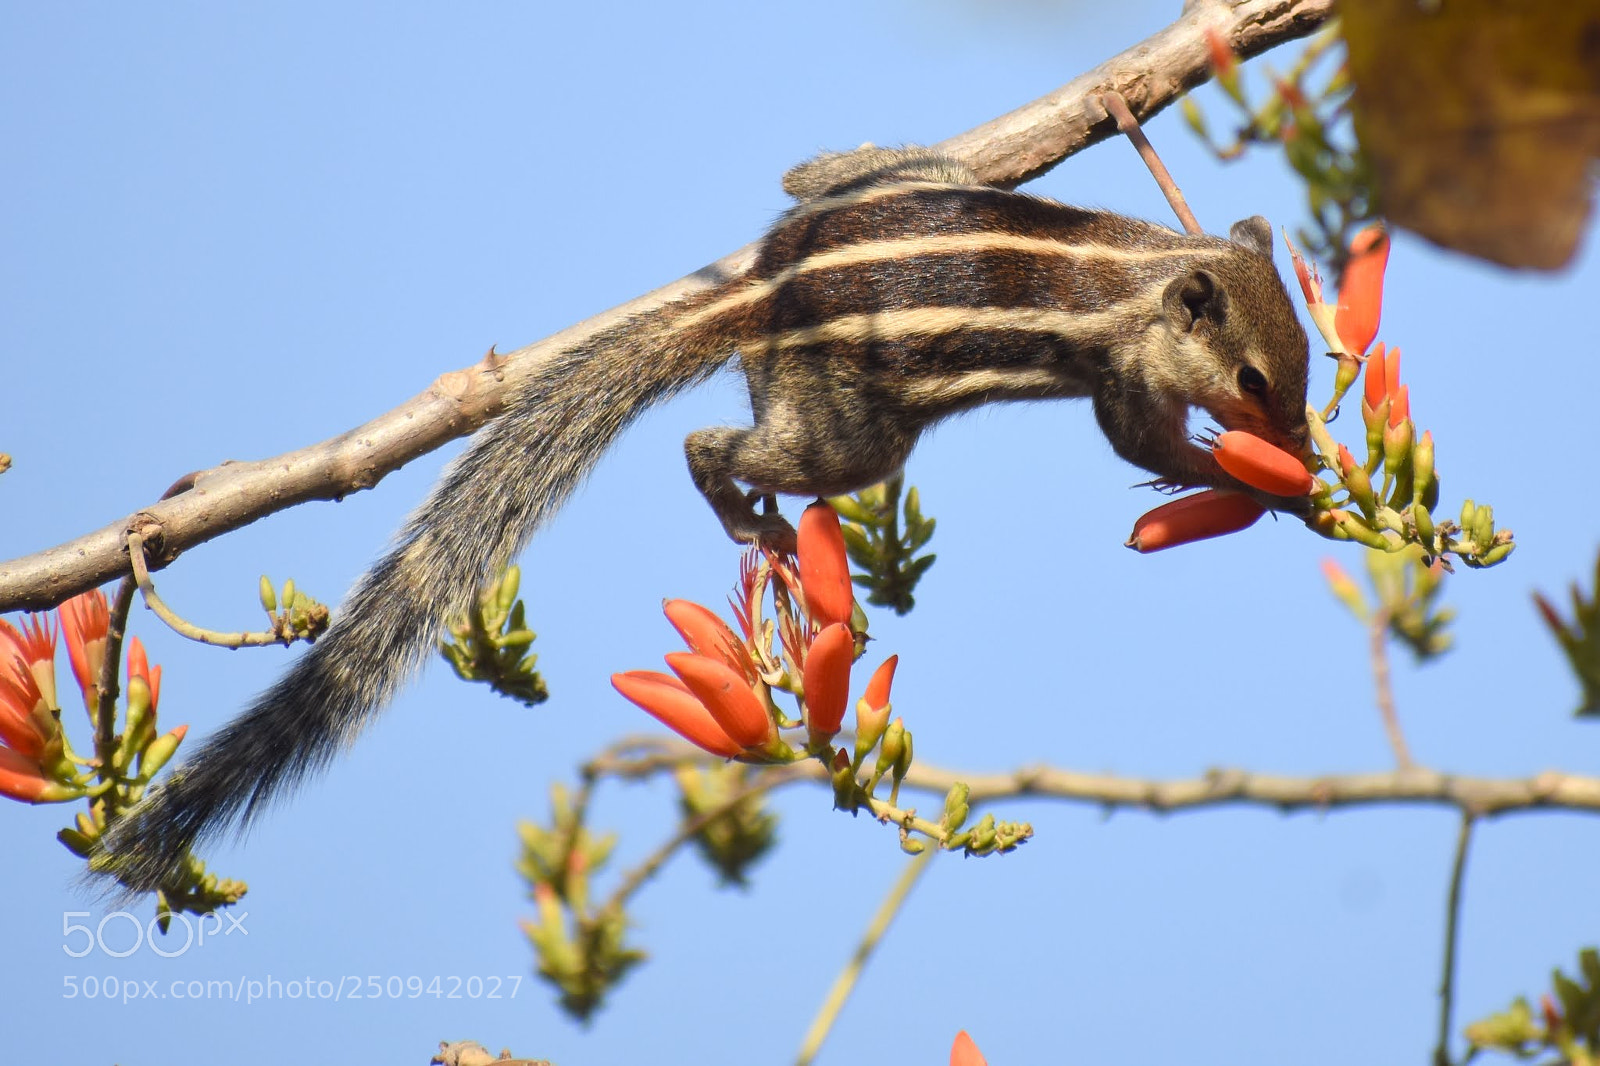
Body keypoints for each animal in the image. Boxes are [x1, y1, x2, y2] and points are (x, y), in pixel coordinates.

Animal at [98, 145, 1311, 892]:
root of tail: (755, 294)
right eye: (1256, 379)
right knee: (714, 449)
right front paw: (1259, 478)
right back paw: (754, 521)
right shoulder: (1120, 380)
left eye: (1302, 357)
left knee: (822, 176)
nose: (1301, 433)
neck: (1148, 268)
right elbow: (1139, 444)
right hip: (848, 435)